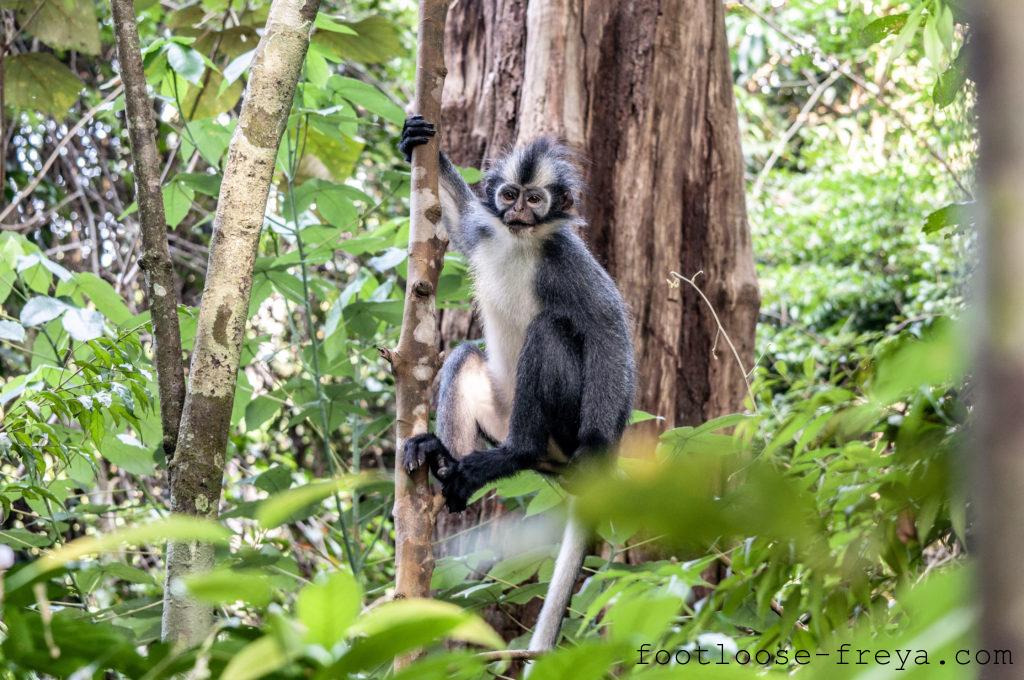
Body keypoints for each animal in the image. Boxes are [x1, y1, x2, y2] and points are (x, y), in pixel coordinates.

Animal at [397, 116, 630, 655]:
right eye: (508, 194)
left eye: (536, 199)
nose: (518, 212)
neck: (521, 243)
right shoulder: (487, 233)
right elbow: (460, 222)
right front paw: (416, 141)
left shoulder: (566, 257)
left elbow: (608, 329)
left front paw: (599, 447)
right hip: (499, 415)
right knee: (463, 354)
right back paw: (443, 458)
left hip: (561, 421)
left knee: (548, 330)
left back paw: (517, 454)